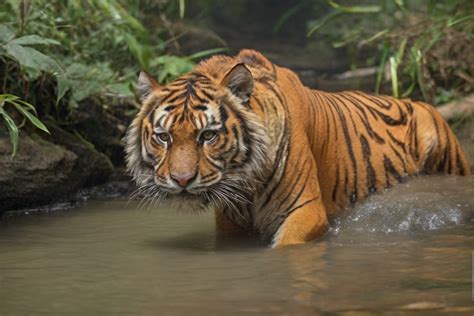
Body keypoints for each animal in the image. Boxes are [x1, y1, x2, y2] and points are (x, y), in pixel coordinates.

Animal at [125, 48, 470, 247]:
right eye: (163, 137)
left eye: (208, 135)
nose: (181, 180)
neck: (245, 184)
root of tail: (417, 101)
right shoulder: (230, 223)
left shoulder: (307, 210)